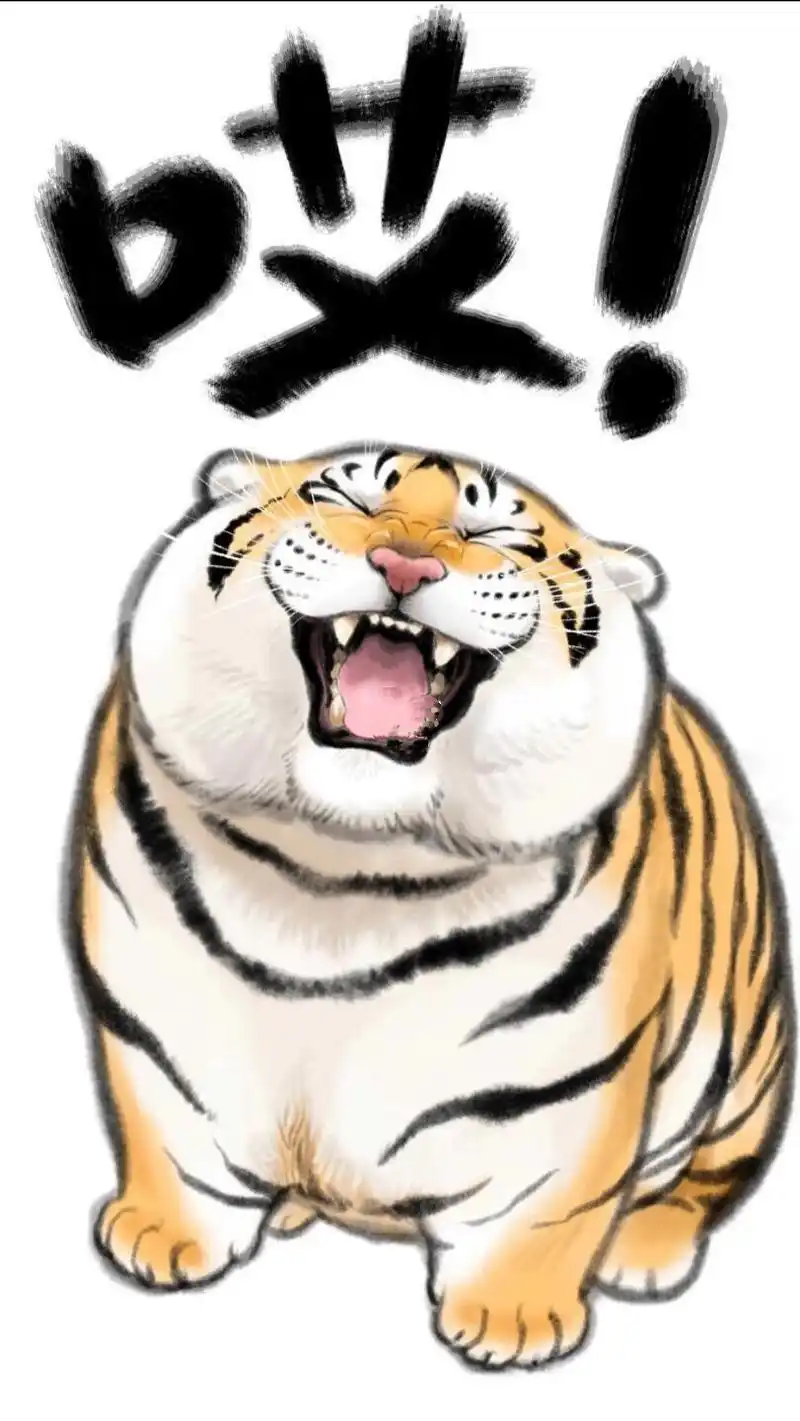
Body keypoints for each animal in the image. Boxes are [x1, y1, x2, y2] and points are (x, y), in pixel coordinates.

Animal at [64, 443, 794, 1370]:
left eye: (497, 535)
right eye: (343, 495)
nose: (405, 564)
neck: (337, 877)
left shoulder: (567, 1079)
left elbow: (547, 1202)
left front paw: (511, 1319)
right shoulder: (159, 1016)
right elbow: (171, 1129)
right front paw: (162, 1237)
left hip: (747, 1072)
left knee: (706, 1175)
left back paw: (643, 1250)